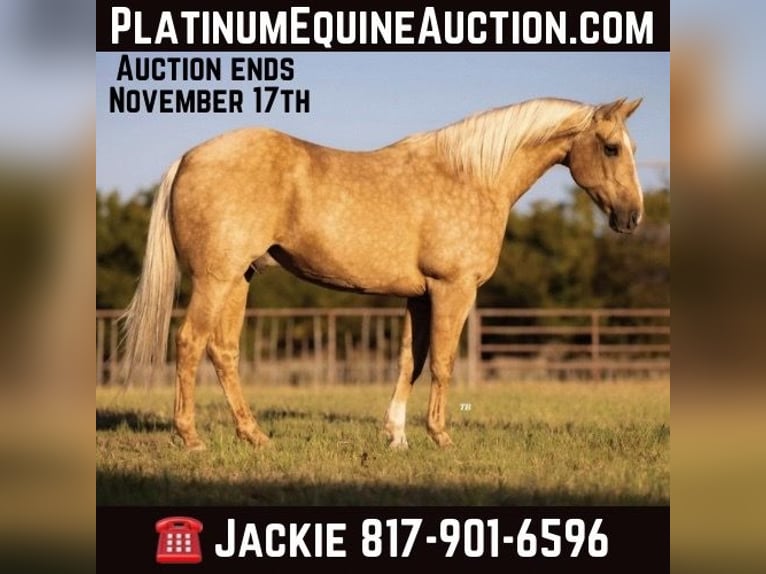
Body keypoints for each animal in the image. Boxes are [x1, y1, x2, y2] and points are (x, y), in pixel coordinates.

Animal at [121, 96, 644, 450]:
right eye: (612, 148)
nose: (633, 217)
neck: (472, 176)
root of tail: (189, 157)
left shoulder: (418, 296)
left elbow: (409, 361)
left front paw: (396, 436)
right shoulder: (453, 290)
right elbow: (442, 362)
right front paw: (440, 436)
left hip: (238, 279)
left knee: (223, 352)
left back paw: (255, 436)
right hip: (215, 279)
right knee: (189, 343)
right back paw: (191, 438)